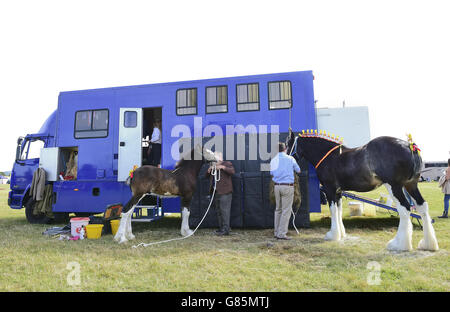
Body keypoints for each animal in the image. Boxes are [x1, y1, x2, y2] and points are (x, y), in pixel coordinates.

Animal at [286, 130, 438, 251]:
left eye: (288, 144)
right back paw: (428, 244)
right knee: (422, 207)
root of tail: (409, 146)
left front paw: (332, 235)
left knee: (405, 209)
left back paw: (399, 245)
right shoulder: (338, 192)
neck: (329, 157)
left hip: (394, 186)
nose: (286, 157)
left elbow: (333, 211)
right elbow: (339, 211)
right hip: (411, 185)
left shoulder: (330, 190)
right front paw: (341, 234)